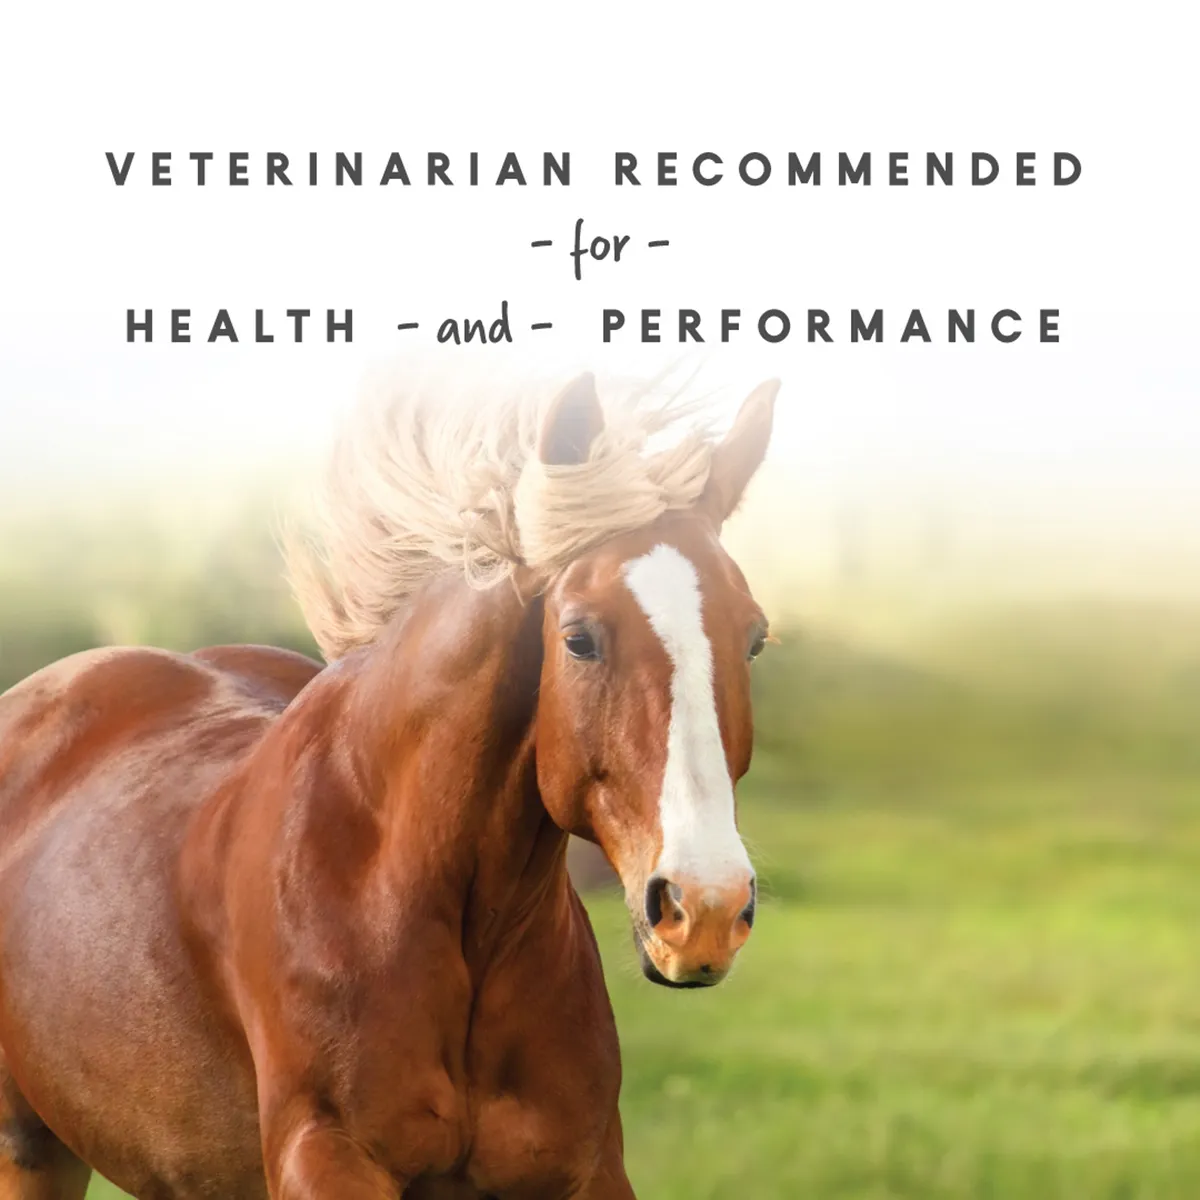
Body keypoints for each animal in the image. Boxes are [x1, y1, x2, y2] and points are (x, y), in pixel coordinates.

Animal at [0, 369, 778, 1199]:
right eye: (579, 638)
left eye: (755, 638)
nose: (705, 909)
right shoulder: (326, 1156)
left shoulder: (587, 1167)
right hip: (29, 1148)